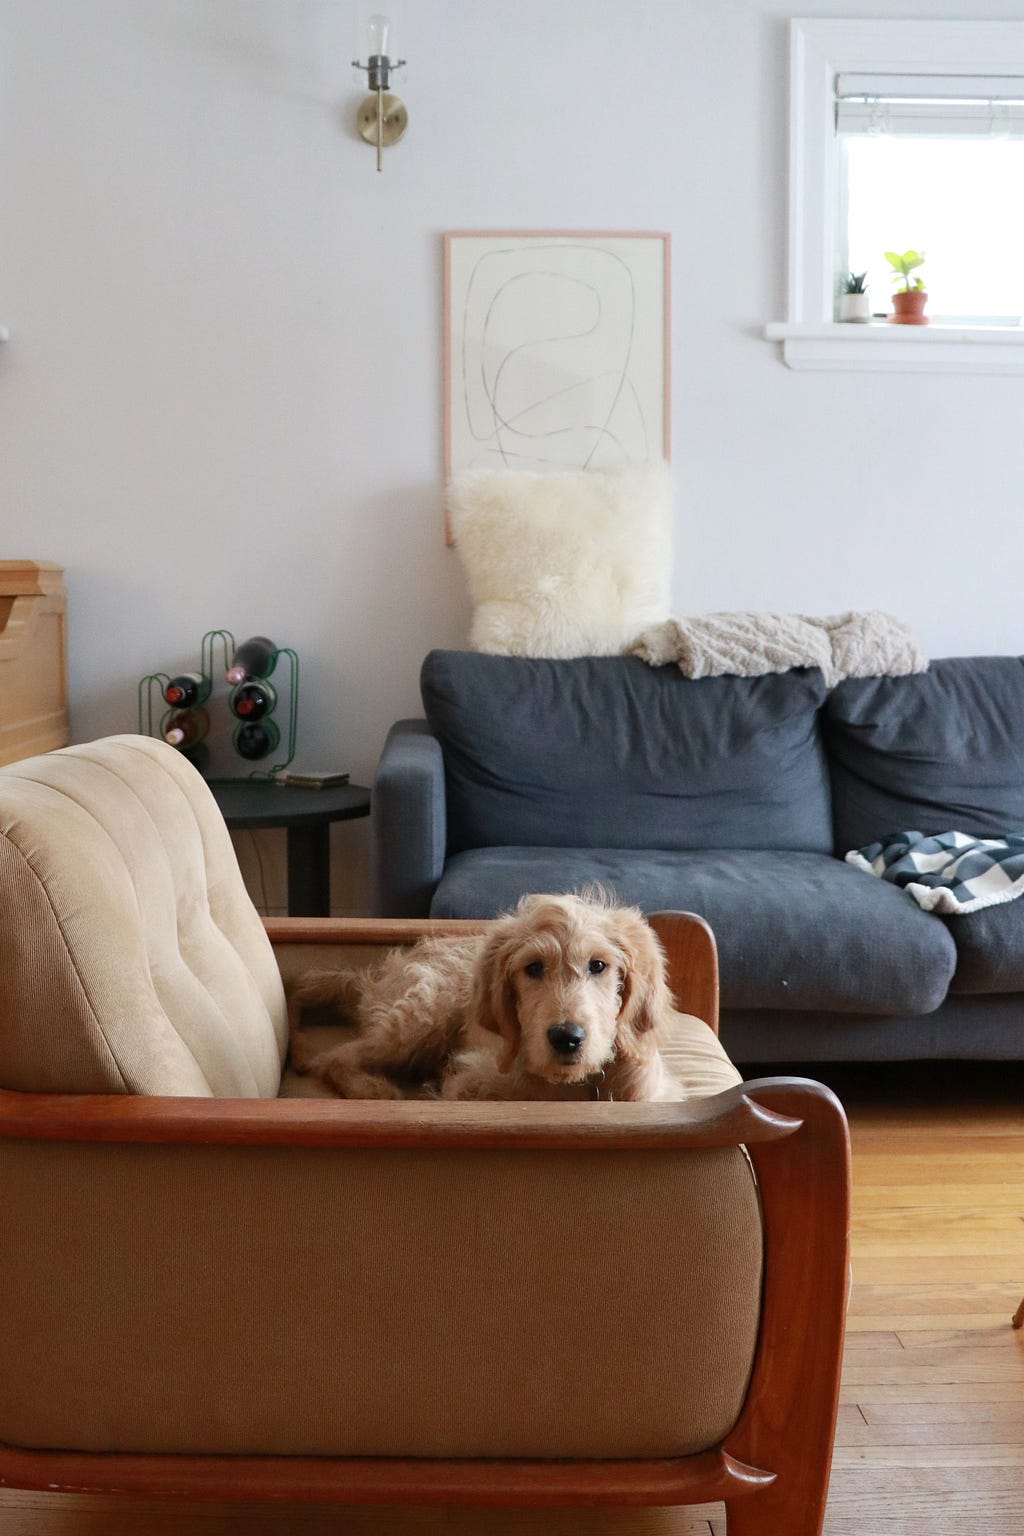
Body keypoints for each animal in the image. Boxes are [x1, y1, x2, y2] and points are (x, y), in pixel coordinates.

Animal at [287, 897, 687, 1099]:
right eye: (533, 968)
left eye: (598, 965)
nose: (566, 1038)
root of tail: (373, 981)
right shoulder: (469, 1082)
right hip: (419, 1013)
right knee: (333, 1058)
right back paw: (374, 1089)